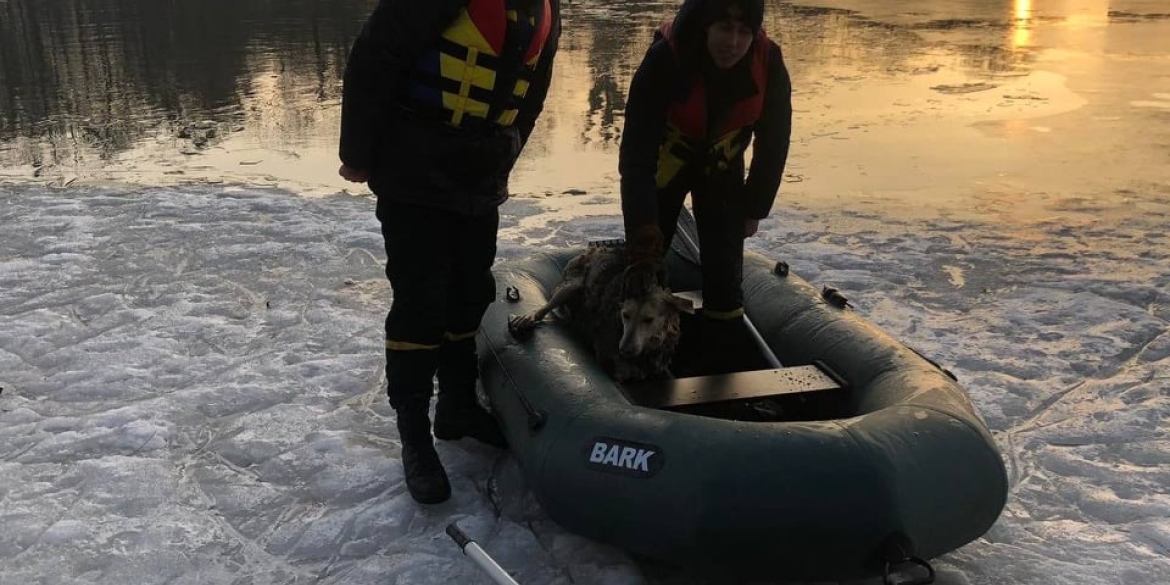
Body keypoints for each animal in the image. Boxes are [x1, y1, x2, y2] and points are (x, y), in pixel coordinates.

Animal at [505, 243, 687, 383]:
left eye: (649, 319)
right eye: (625, 315)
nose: (623, 350)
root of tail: (593, 248)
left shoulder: (659, 366)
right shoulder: (614, 369)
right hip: (571, 285)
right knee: (549, 305)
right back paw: (528, 318)